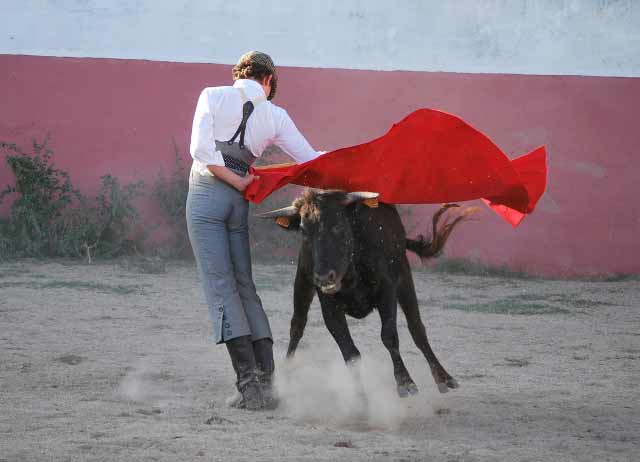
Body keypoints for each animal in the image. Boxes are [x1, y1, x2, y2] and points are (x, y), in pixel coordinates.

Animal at [258, 189, 476, 396]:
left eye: (339, 226)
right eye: (304, 232)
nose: (324, 277)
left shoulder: (387, 292)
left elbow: (389, 336)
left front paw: (405, 382)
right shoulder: (329, 307)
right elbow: (350, 352)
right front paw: (361, 397)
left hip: (404, 277)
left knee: (417, 328)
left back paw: (444, 378)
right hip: (303, 280)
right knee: (297, 325)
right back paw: (286, 374)